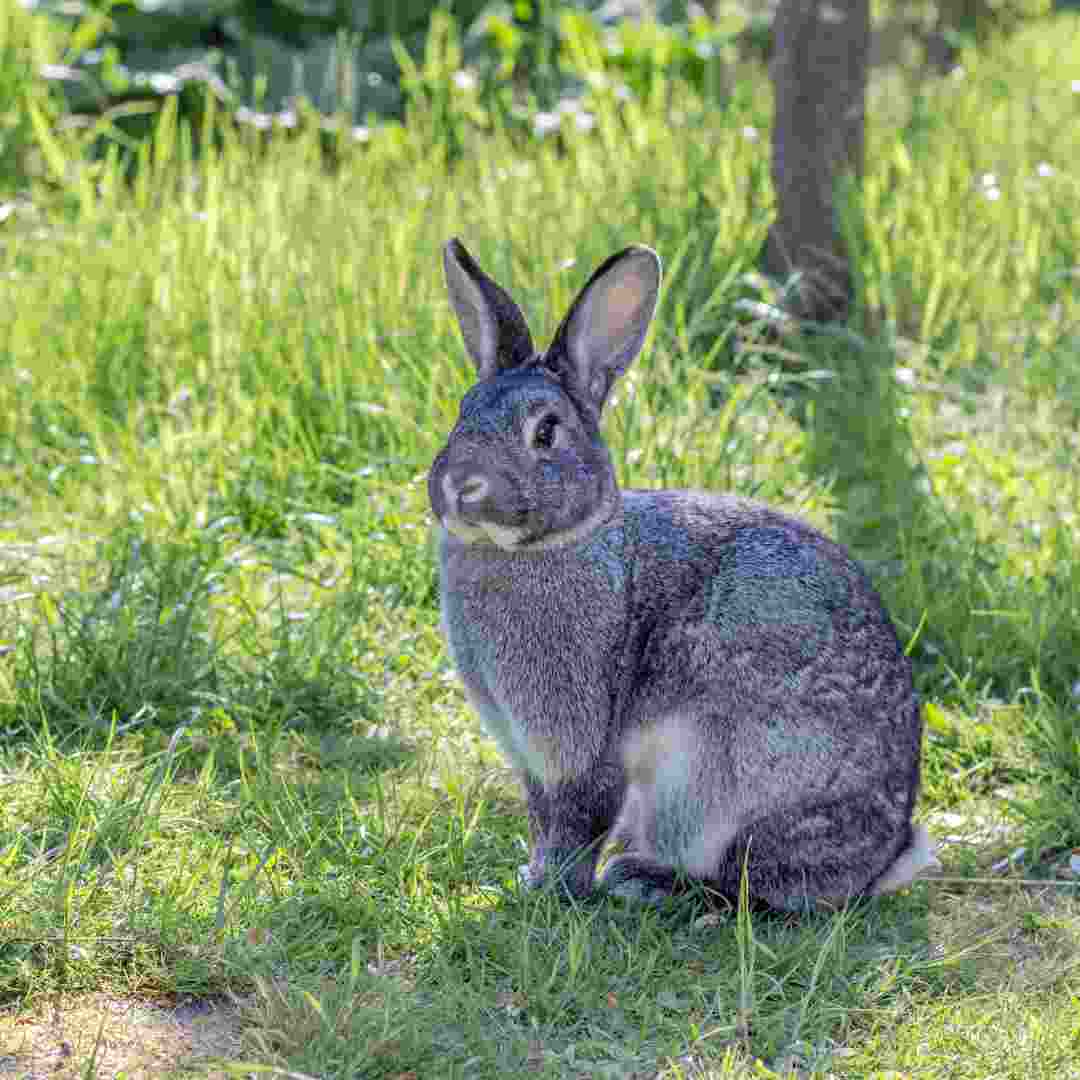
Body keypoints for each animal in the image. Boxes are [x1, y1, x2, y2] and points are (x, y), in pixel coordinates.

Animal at [428, 237, 937, 910]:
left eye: (546, 431)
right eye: (461, 412)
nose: (462, 484)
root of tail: (886, 855)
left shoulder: (582, 746)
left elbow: (578, 819)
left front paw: (554, 892)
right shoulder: (528, 754)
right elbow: (543, 819)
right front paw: (530, 878)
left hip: (732, 781)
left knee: (749, 886)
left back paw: (648, 881)